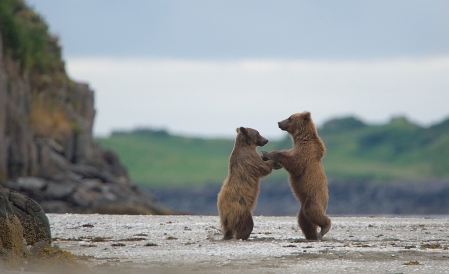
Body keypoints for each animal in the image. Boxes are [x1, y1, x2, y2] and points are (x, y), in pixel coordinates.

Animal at [260, 111, 330, 240]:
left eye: (289, 117)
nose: (279, 122)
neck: (300, 139)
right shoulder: (294, 149)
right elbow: (286, 155)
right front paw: (266, 156)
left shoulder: (306, 153)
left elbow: (295, 164)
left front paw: (268, 153)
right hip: (303, 206)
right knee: (304, 220)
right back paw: (311, 235)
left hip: (314, 197)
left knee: (313, 211)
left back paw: (324, 228)